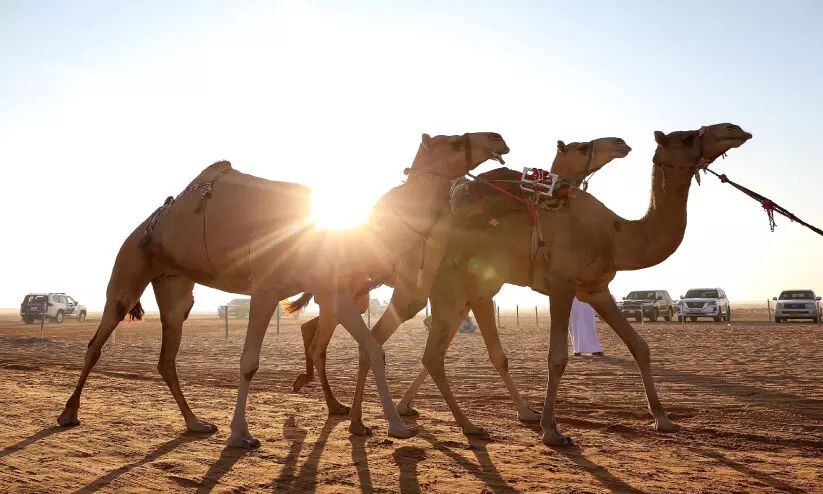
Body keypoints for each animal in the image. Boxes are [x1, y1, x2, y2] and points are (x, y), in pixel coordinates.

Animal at [55, 131, 510, 447]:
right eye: (454, 140)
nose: (497, 138)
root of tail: (147, 224)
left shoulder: (334, 291)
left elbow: (373, 348)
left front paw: (396, 426)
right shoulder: (266, 287)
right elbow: (249, 362)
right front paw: (241, 435)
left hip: (176, 289)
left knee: (167, 356)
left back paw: (196, 423)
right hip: (128, 268)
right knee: (98, 340)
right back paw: (68, 414)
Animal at [289, 137, 633, 433]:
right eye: (581, 146)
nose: (621, 143)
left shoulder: (463, 299)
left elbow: (444, 352)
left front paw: (407, 406)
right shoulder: (469, 293)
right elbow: (484, 354)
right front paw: (525, 413)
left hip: (360, 290)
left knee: (318, 329)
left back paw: (328, 398)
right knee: (343, 334)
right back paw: (337, 405)